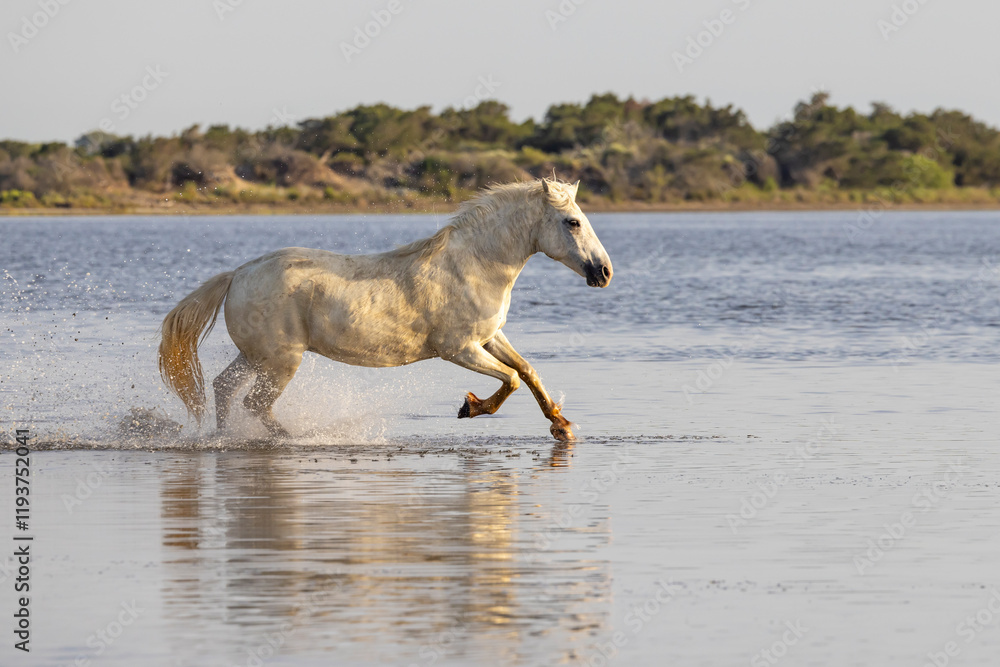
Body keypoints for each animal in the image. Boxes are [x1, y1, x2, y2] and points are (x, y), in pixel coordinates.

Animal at [157, 178, 613, 441]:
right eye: (572, 221)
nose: (604, 272)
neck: (473, 265)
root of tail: (237, 274)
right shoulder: (459, 349)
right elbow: (512, 380)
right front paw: (470, 407)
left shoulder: (489, 337)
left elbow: (528, 371)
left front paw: (562, 427)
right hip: (281, 362)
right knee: (254, 403)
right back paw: (289, 439)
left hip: (255, 357)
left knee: (223, 388)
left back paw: (223, 438)